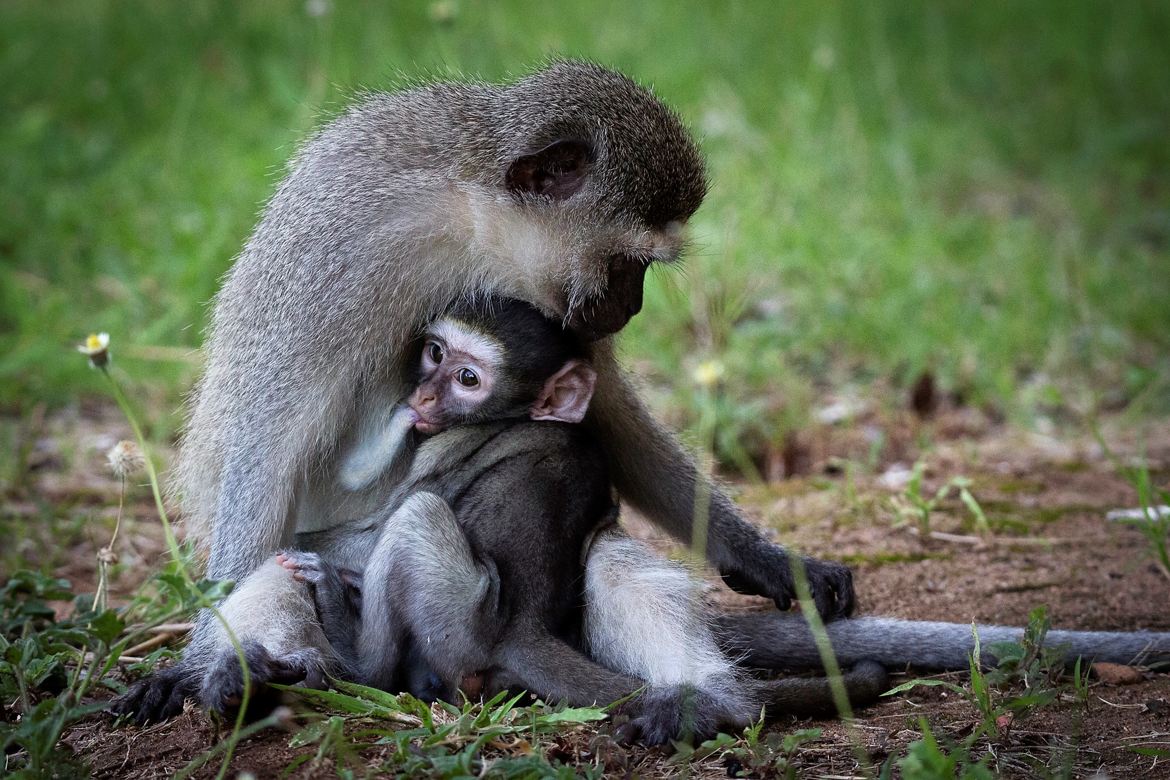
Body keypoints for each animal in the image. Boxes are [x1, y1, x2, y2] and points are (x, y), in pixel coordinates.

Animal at [111, 61, 851, 720]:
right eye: (628, 264)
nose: (631, 307)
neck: (468, 216)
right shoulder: (344, 259)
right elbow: (271, 447)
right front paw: (196, 666)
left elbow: (607, 411)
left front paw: (764, 558)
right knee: (278, 568)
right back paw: (262, 678)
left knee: (612, 562)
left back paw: (706, 703)